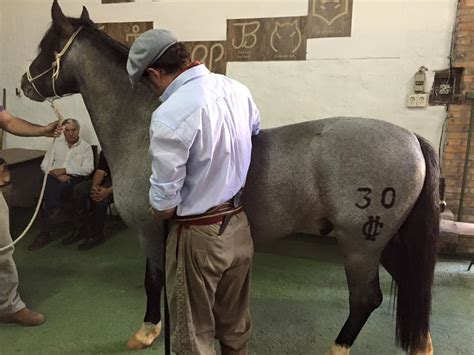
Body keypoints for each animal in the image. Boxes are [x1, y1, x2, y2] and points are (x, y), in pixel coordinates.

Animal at [20, 1, 438, 354]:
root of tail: (412, 139)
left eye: (45, 46)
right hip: (389, 242)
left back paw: (338, 348)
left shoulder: (150, 230)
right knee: (412, 285)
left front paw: (148, 330)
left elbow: (153, 279)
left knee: (366, 298)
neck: (140, 128)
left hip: (360, 243)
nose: (24, 84)